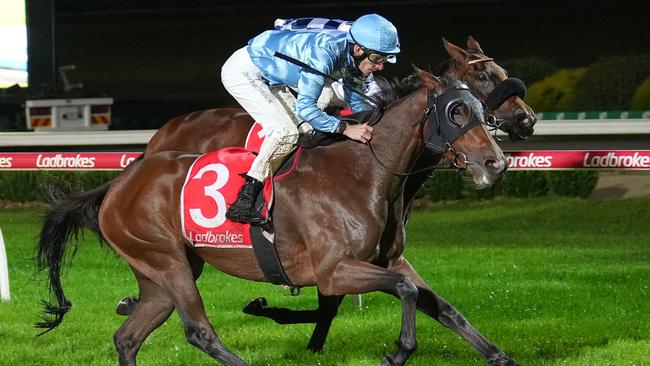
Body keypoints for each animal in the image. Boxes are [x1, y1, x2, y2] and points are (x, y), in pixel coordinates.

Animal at [38, 68, 516, 364]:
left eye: (480, 108)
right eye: (457, 110)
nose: (495, 163)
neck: (363, 172)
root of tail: (118, 183)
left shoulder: (388, 259)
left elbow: (443, 307)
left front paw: (500, 355)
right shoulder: (333, 271)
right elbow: (404, 291)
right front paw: (397, 351)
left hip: (162, 271)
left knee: (129, 337)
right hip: (166, 260)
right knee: (198, 331)